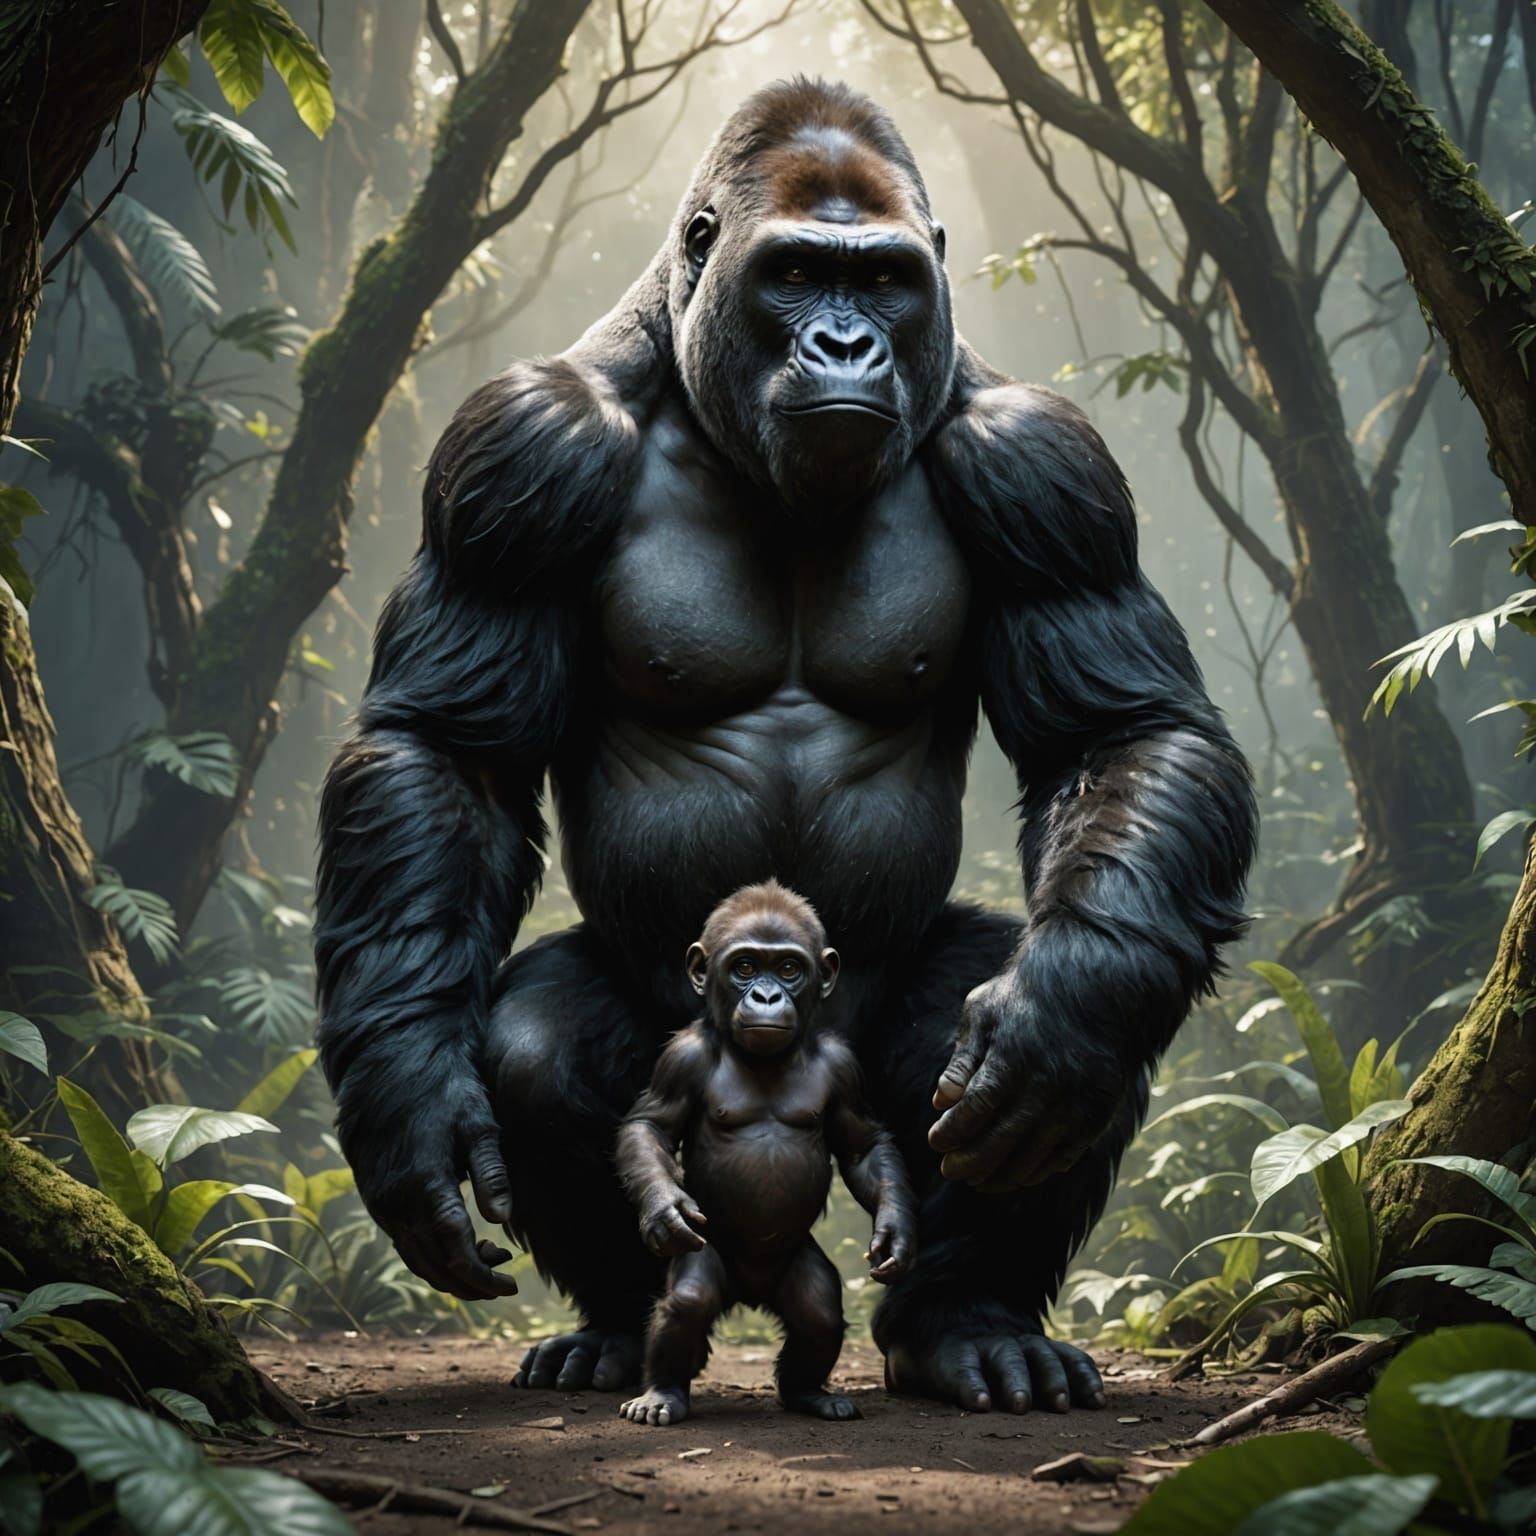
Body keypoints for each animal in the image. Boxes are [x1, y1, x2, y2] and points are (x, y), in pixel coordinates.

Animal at [613, 882, 915, 1425]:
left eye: (790, 968)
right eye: (746, 966)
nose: (767, 995)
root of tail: (750, 1294)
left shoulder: (843, 1066)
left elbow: (863, 1146)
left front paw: (895, 1234)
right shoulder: (682, 1057)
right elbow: (652, 1127)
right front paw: (664, 1210)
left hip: (795, 1263)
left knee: (818, 1313)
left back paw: (809, 1392)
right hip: (712, 1256)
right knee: (689, 1300)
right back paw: (661, 1395)